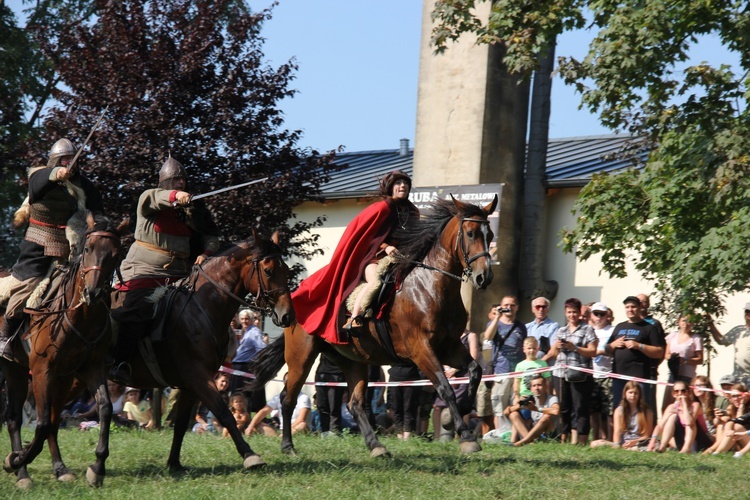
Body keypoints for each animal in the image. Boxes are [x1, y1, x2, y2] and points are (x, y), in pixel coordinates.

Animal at [0, 216, 125, 488]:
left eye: (115, 254)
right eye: (87, 249)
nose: (93, 293)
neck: (80, 316)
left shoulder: (90, 368)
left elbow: (105, 408)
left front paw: (97, 467)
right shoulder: (40, 370)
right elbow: (42, 423)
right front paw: (16, 459)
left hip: (57, 378)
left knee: (51, 420)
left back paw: (59, 469)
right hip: (17, 370)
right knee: (16, 419)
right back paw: (22, 472)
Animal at [111, 232, 294, 470]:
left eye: (286, 270)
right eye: (269, 270)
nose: (287, 315)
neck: (202, 306)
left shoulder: (191, 383)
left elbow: (181, 423)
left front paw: (174, 463)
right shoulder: (198, 375)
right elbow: (224, 413)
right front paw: (250, 455)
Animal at [250, 195, 502, 458]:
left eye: (491, 234)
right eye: (471, 233)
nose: (484, 277)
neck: (431, 287)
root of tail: (291, 303)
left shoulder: (449, 347)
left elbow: (475, 371)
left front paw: (457, 417)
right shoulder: (421, 350)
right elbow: (445, 388)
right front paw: (466, 436)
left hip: (352, 360)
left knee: (354, 403)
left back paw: (376, 446)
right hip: (301, 357)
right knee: (287, 398)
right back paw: (288, 446)